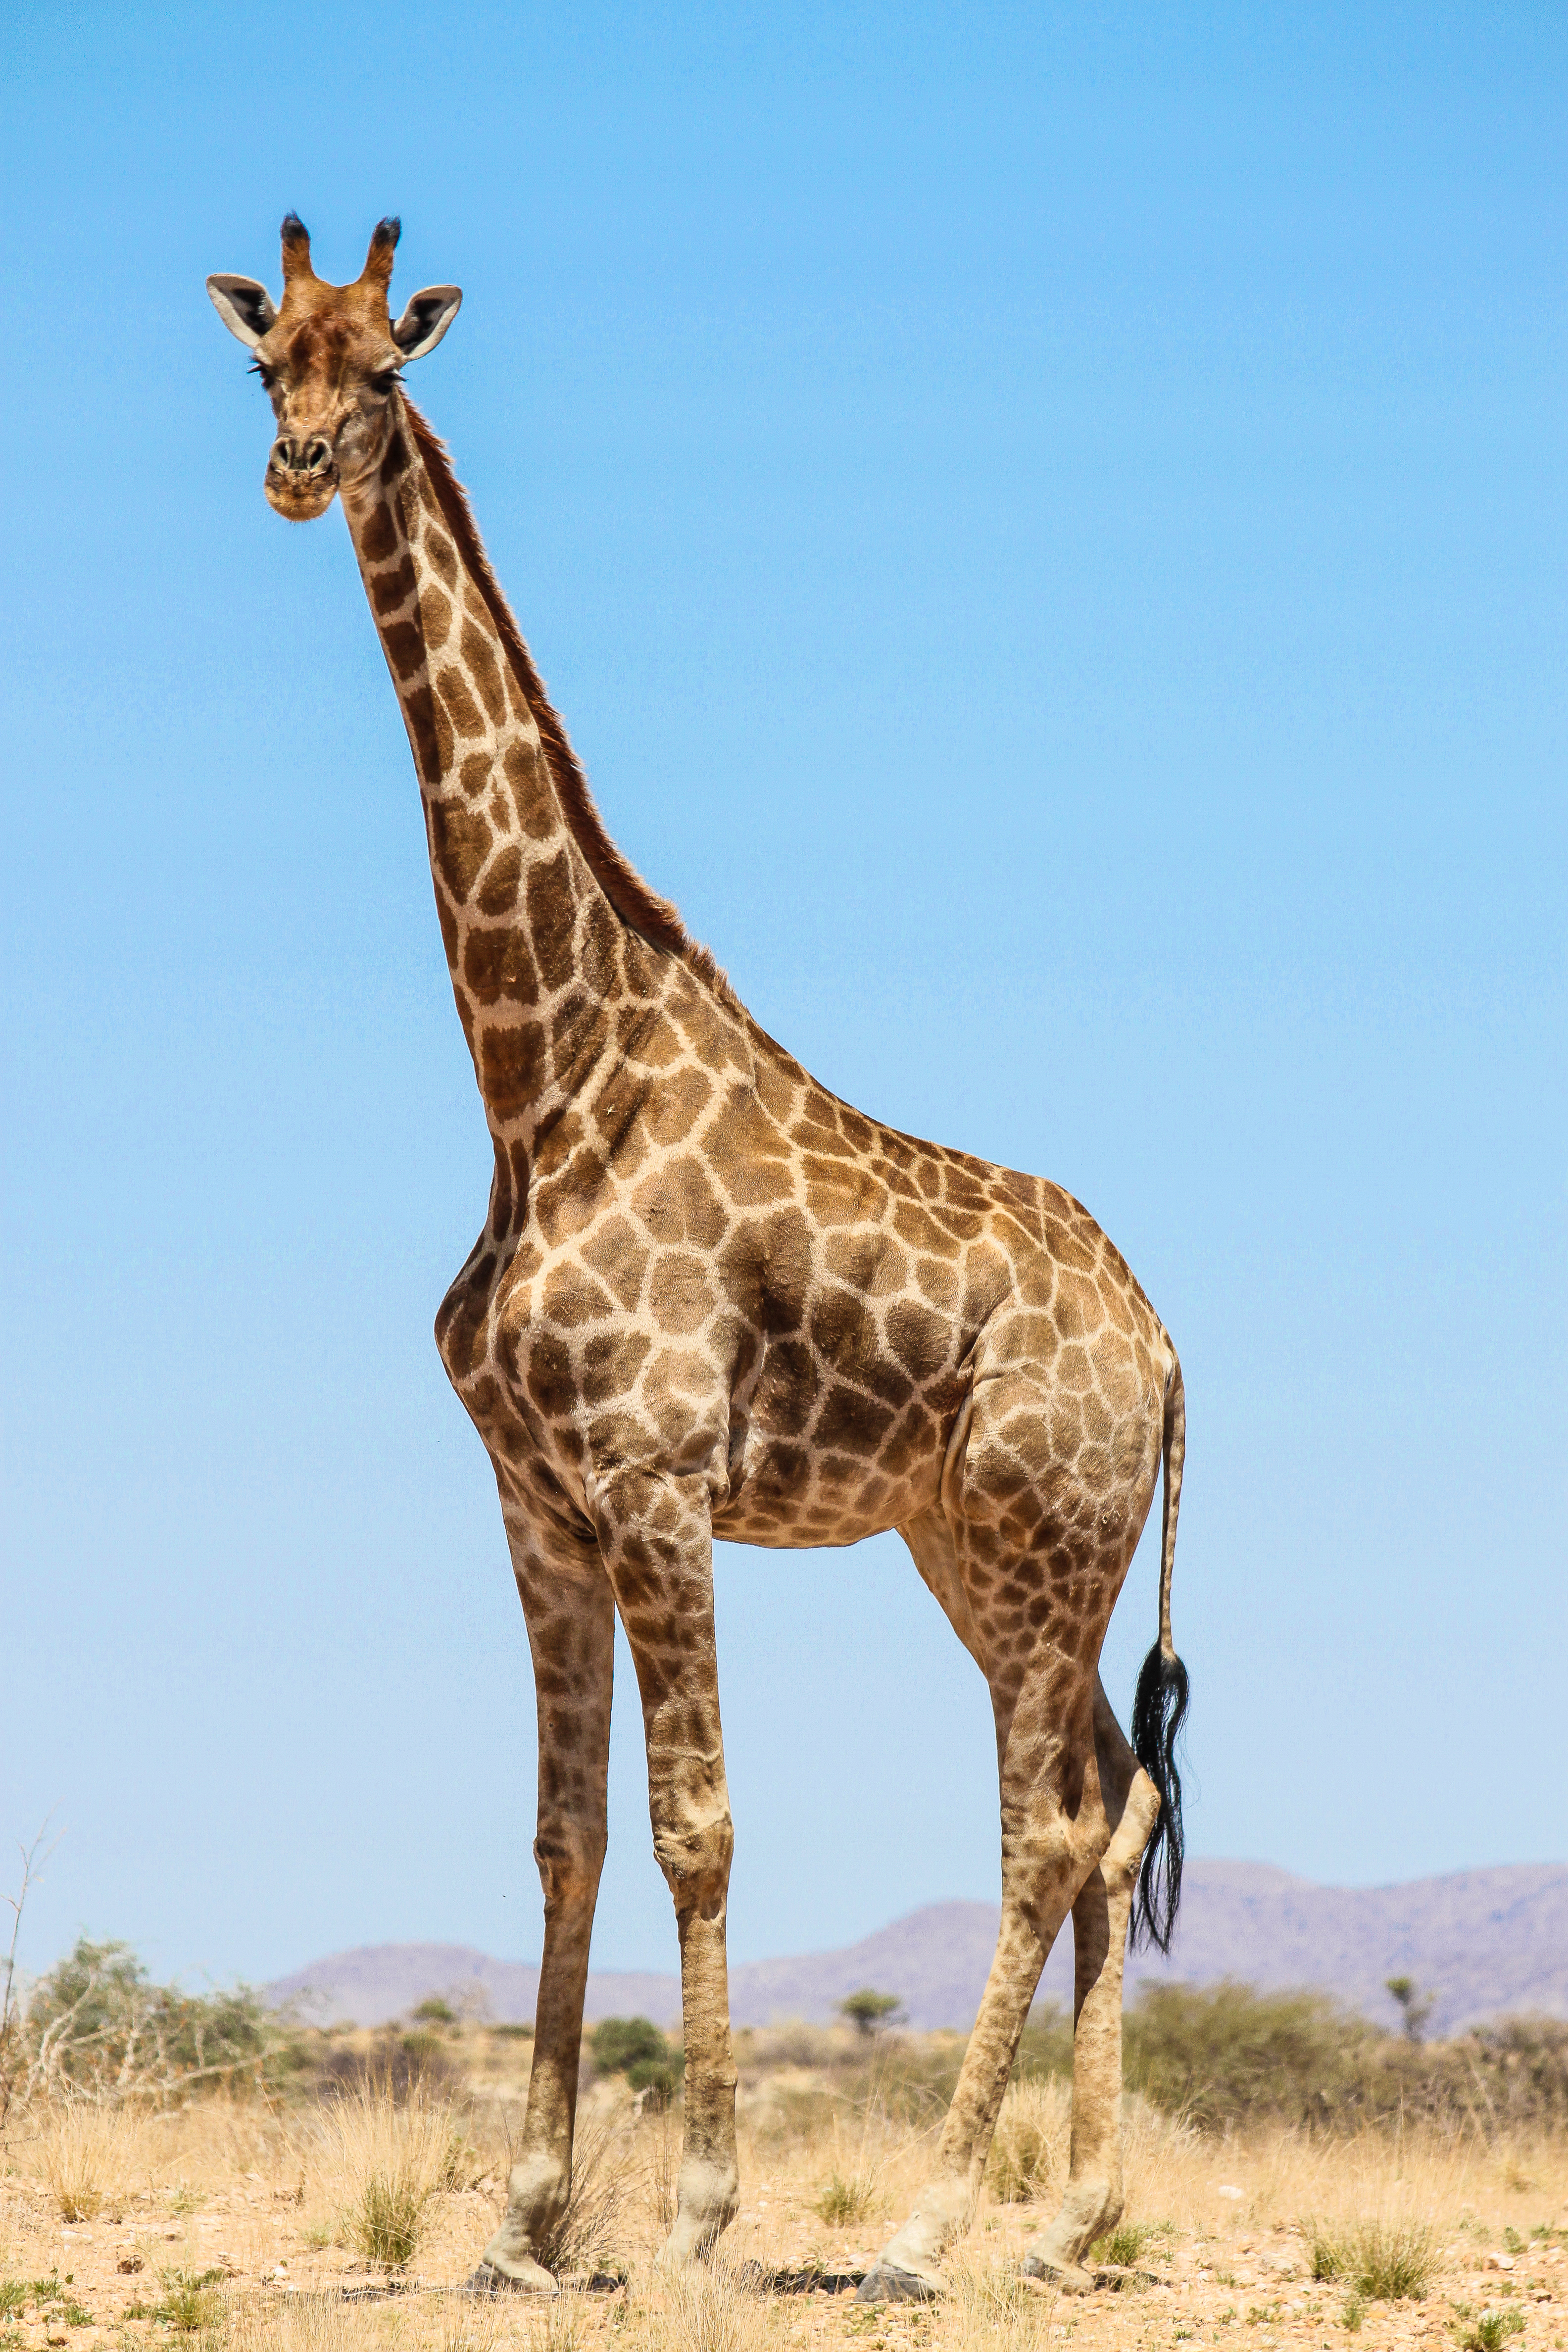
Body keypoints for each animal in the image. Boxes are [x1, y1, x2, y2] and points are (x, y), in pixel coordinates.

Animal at [207, 216, 1191, 2305]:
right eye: (268, 364)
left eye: (383, 371)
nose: (300, 466)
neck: (541, 1073)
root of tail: (1165, 1348)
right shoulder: (534, 1496)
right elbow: (565, 1837)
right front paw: (519, 2222)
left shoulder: (658, 1482)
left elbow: (699, 1827)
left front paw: (698, 2215)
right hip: (987, 1553)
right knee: (1109, 1798)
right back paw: (1071, 2214)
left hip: (1041, 1546)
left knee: (1043, 1828)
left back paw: (920, 2223)